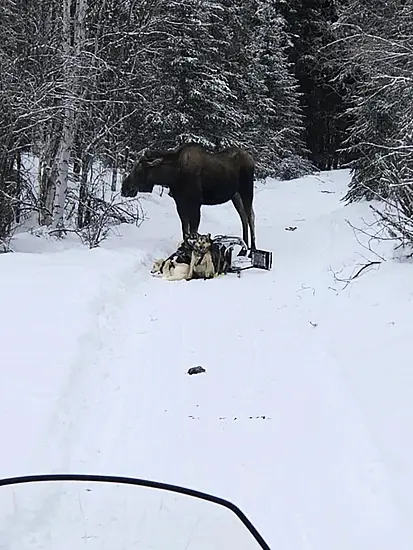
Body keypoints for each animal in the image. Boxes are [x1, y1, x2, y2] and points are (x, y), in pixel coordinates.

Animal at [120, 144, 254, 252]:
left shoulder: (195, 203)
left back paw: (252, 248)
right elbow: (185, 230)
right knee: (243, 216)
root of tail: (251, 158)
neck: (173, 176)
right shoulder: (180, 203)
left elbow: (193, 231)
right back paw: (245, 245)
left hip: (247, 190)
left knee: (250, 215)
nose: (124, 188)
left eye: (139, 168)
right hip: (235, 195)